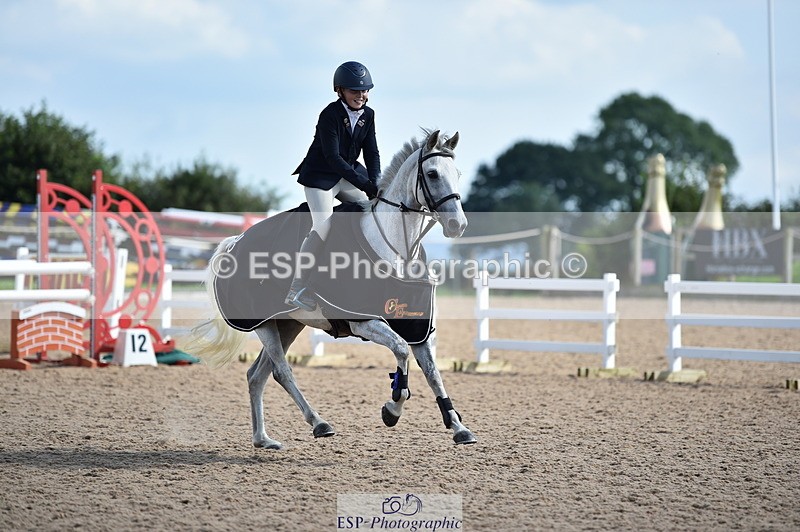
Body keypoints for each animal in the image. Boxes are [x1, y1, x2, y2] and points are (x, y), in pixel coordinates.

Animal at [190, 129, 477, 449]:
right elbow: (401, 352)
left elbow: (433, 373)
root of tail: (235, 242)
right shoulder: (364, 322)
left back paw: (263, 439)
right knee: (281, 371)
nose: (457, 225)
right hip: (263, 325)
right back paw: (319, 423)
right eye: (432, 173)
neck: (396, 249)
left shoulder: (417, 327)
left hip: (287, 324)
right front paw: (392, 410)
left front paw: (458, 426)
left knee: (257, 375)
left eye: (458, 174)